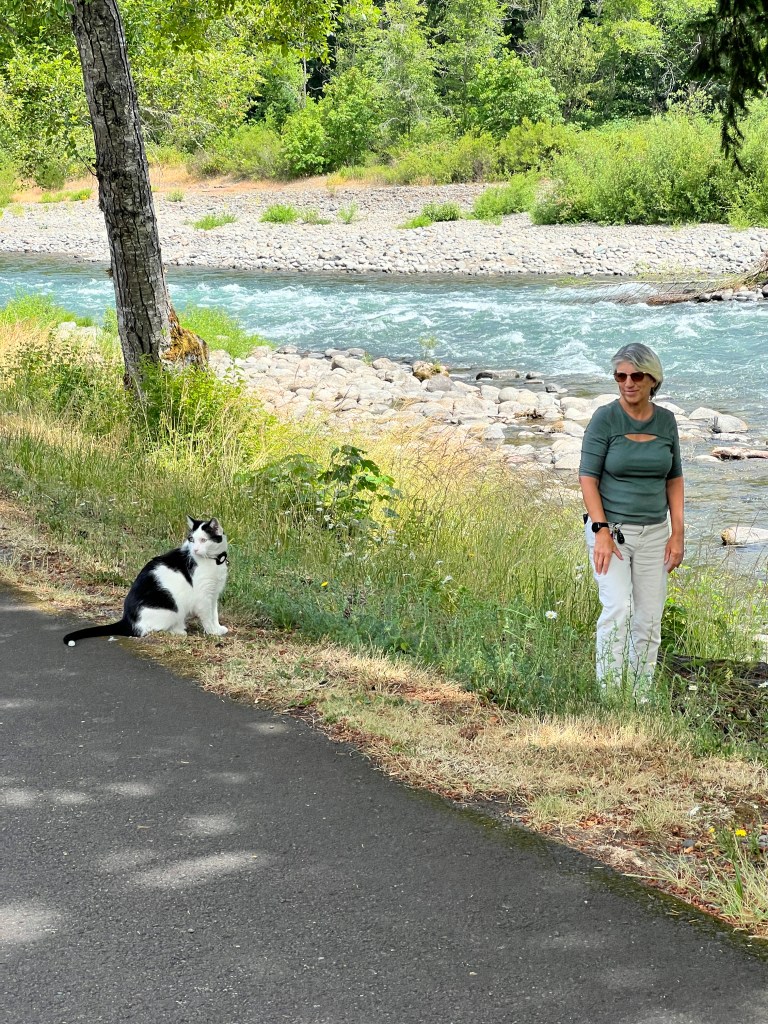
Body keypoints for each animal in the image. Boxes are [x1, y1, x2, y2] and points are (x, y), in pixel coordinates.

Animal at [63, 516, 229, 646]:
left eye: (203, 540)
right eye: (192, 539)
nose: (194, 549)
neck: (214, 561)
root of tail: (127, 619)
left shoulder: (213, 594)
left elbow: (214, 613)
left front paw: (218, 628)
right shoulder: (203, 596)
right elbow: (207, 616)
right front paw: (212, 632)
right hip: (171, 610)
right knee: (147, 629)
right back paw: (179, 630)